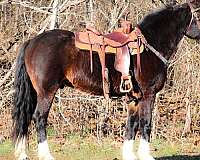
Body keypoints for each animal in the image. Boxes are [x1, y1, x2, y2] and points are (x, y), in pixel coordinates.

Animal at [12, 2, 200, 160]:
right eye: (198, 13)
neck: (150, 45)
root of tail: (32, 41)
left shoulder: (135, 98)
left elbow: (131, 126)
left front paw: (129, 155)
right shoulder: (148, 95)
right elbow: (146, 123)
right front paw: (146, 155)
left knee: (26, 118)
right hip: (46, 92)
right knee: (39, 118)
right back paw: (46, 155)